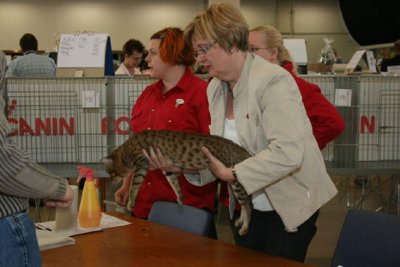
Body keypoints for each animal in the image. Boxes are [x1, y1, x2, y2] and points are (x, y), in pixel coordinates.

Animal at [104, 131, 253, 236]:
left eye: (111, 173)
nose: (110, 181)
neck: (128, 149)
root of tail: (245, 151)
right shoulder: (167, 168)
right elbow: (174, 183)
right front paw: (180, 198)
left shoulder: (142, 163)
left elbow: (134, 185)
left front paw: (130, 202)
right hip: (233, 183)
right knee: (244, 204)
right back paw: (240, 221)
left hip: (237, 182)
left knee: (248, 205)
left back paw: (245, 227)